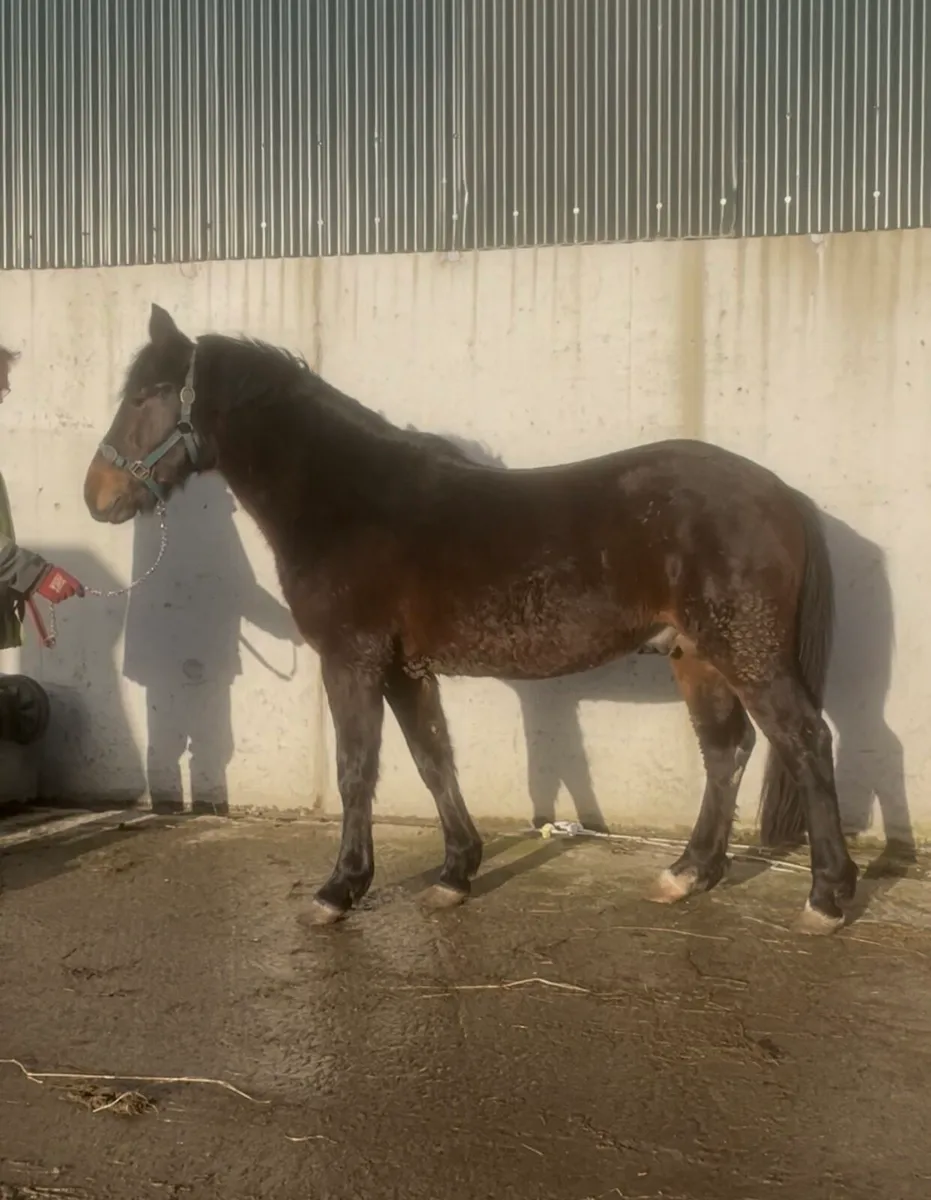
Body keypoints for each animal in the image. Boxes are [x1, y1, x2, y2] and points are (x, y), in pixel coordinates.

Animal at [83, 304, 859, 935]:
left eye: (147, 396)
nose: (97, 495)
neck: (351, 501)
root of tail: (778, 493)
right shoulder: (404, 668)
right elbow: (433, 760)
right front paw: (455, 874)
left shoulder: (353, 659)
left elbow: (356, 769)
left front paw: (338, 891)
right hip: (696, 653)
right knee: (726, 751)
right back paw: (688, 873)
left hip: (747, 651)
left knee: (804, 740)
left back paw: (825, 898)